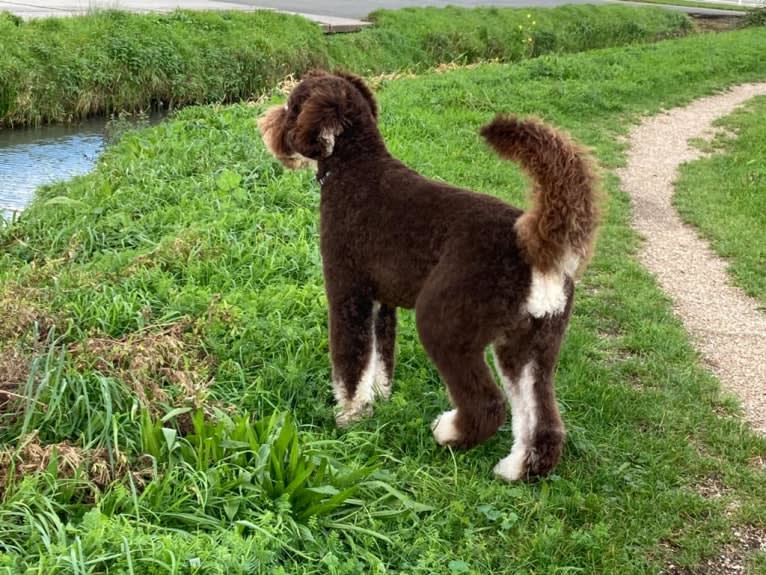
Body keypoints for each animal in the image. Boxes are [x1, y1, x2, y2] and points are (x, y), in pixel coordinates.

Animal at [260, 68, 604, 482]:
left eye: (292, 106)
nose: (266, 122)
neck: (355, 166)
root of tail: (534, 248)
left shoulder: (348, 294)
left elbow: (352, 364)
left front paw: (350, 417)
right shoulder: (382, 303)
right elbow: (380, 360)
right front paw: (379, 400)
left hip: (444, 324)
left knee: (488, 405)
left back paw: (448, 433)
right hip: (531, 345)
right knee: (542, 418)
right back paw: (515, 469)